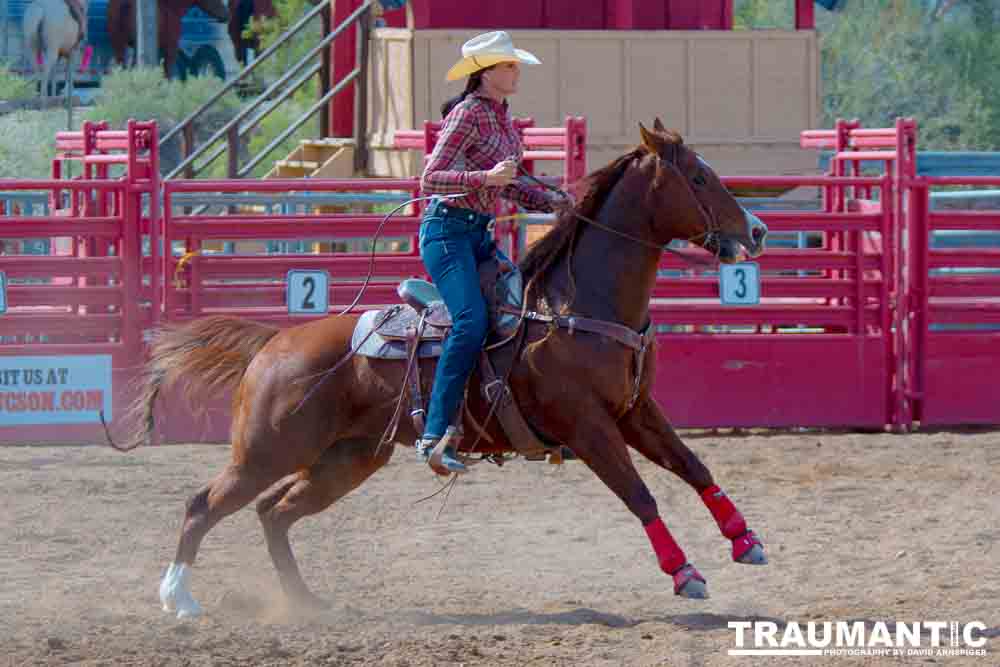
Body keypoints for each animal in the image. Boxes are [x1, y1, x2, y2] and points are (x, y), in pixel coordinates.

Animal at [119, 121, 772, 620]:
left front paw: (746, 540)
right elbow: (640, 494)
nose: (758, 231)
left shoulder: (635, 410)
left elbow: (693, 466)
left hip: (347, 458)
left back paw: (306, 603)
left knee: (273, 512)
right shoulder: (587, 426)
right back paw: (179, 599)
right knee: (204, 504)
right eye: (698, 177)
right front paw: (685, 573)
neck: (575, 304)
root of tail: (275, 342)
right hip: (266, 451)